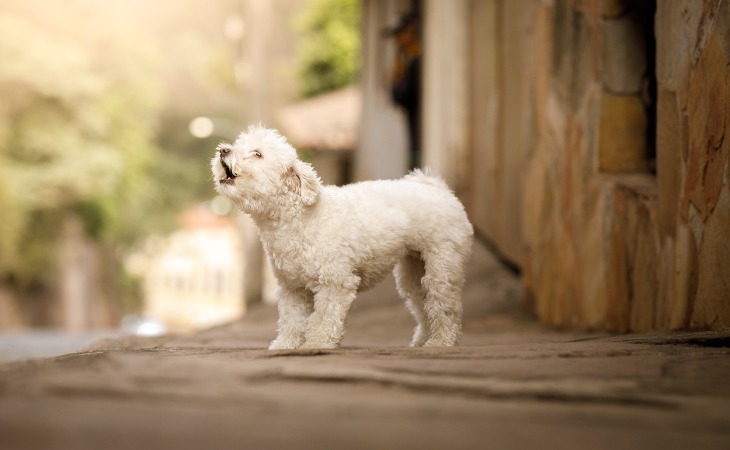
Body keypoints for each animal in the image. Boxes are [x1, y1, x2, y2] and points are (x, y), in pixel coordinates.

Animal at [210, 125, 472, 350]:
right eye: (238, 145)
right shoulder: (292, 288)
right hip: (413, 271)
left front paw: (316, 344)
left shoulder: (336, 283)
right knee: (421, 302)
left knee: (444, 305)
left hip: (442, 265)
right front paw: (286, 345)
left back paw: (441, 342)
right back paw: (422, 340)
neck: (299, 218)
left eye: (257, 154)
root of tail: (439, 190)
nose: (223, 150)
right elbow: (291, 320)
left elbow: (324, 318)